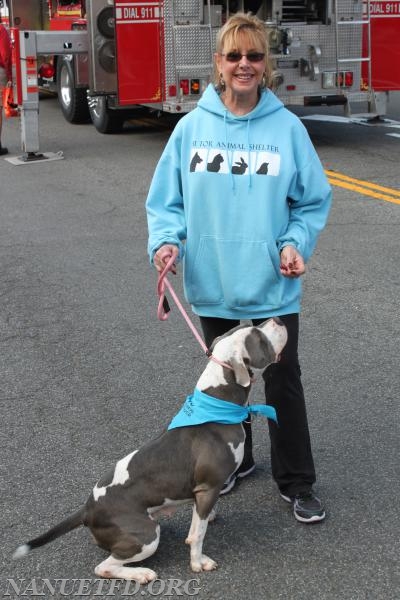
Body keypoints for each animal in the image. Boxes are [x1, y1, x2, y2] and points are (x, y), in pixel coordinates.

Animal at [13, 318, 288, 580]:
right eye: (259, 338)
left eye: (250, 326)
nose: (278, 319)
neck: (217, 404)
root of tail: (87, 508)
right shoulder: (208, 487)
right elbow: (198, 535)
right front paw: (198, 562)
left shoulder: (201, 492)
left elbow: (197, 523)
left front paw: (205, 521)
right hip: (145, 535)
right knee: (104, 567)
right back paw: (141, 573)